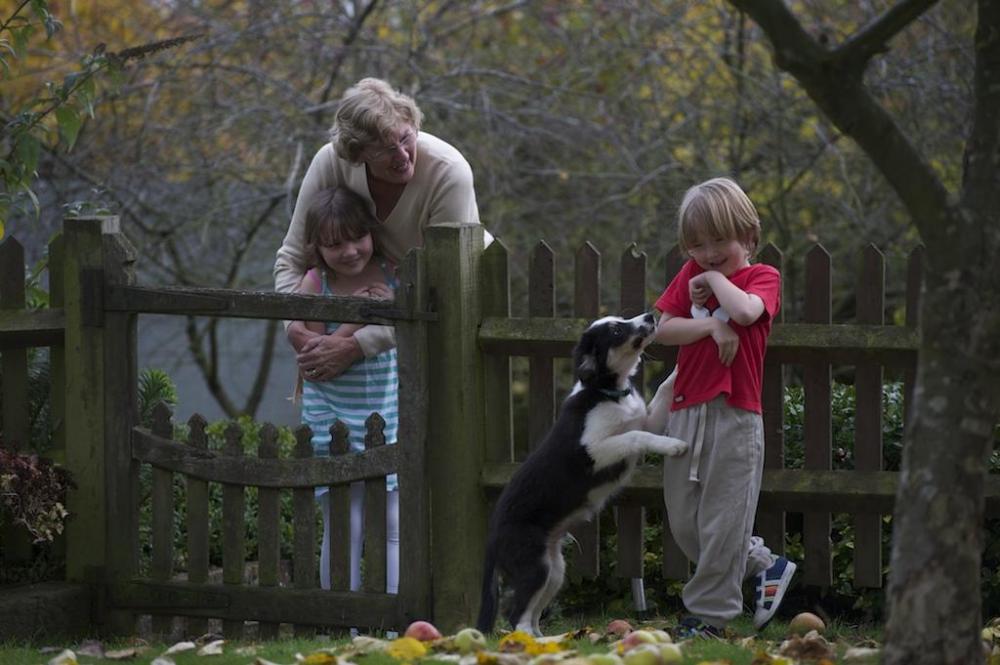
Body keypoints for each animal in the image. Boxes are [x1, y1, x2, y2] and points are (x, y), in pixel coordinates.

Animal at [476, 312, 688, 632]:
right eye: (616, 330)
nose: (650, 316)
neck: (607, 392)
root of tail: (490, 537)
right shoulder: (593, 451)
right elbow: (635, 436)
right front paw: (674, 445)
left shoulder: (646, 419)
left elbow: (659, 397)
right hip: (533, 565)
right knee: (517, 617)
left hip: (554, 569)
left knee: (533, 615)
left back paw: (547, 640)